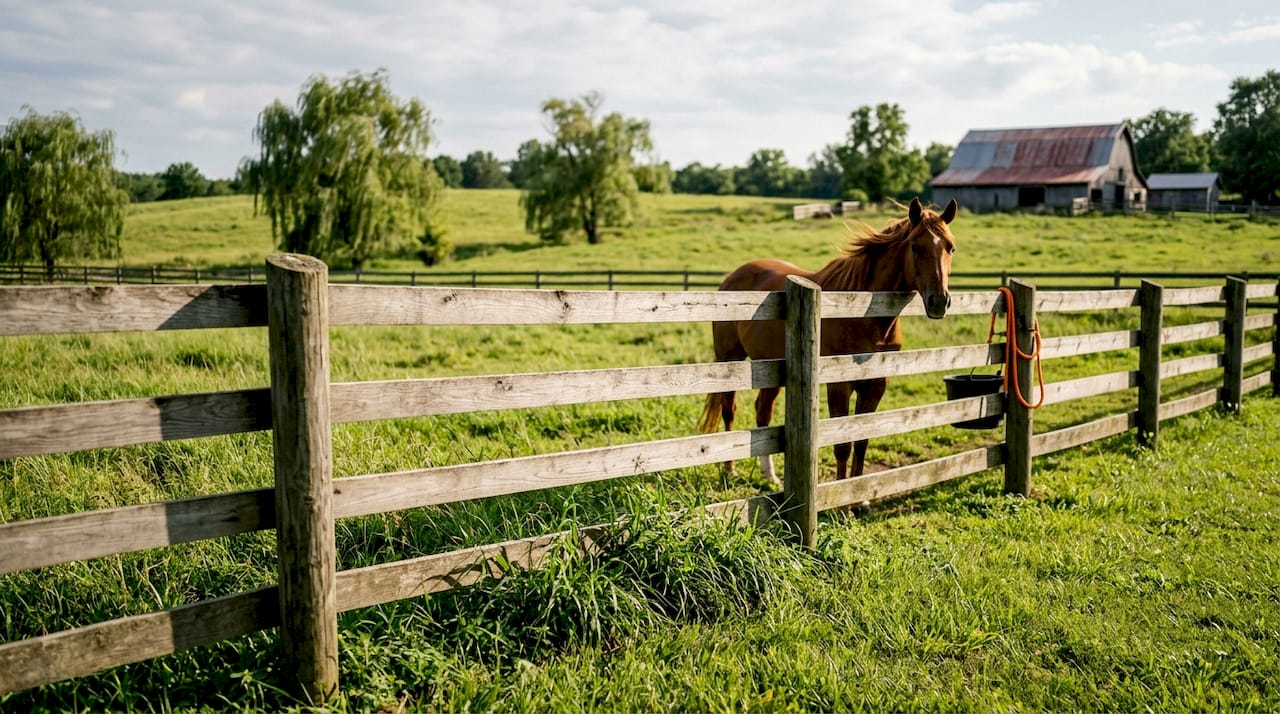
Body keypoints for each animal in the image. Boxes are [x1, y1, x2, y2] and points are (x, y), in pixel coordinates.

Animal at [697, 197, 959, 485]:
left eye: (951, 247)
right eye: (915, 246)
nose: (939, 302)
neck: (862, 313)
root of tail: (731, 277)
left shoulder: (876, 385)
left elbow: (861, 441)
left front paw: (858, 492)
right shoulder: (839, 385)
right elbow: (842, 444)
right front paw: (841, 492)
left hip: (768, 367)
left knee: (762, 410)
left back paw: (770, 475)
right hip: (729, 359)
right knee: (729, 408)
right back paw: (730, 469)